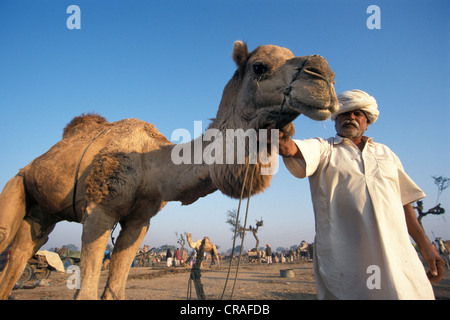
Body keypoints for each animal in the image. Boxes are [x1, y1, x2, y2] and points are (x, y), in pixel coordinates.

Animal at [0, 41, 338, 298]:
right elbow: (88, 292)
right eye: (260, 67)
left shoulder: (139, 221)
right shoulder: (99, 210)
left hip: (43, 214)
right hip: (17, 184)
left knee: (21, 254)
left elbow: (114, 290)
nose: (323, 75)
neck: (151, 166)